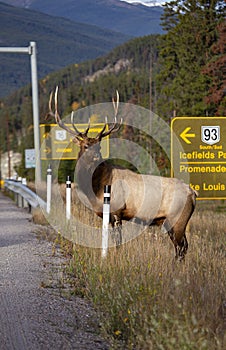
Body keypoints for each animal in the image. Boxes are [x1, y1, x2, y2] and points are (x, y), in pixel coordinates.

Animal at [48, 87, 197, 260]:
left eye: (99, 147)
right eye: (85, 146)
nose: (96, 157)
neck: (95, 189)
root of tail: (193, 193)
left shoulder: (117, 210)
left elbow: (118, 241)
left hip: (177, 218)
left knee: (181, 247)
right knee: (183, 247)